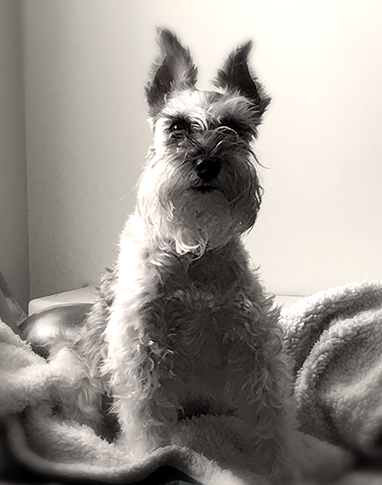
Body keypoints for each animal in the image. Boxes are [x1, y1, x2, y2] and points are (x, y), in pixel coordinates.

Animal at [50, 29, 298, 480]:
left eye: (236, 127)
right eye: (177, 126)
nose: (207, 163)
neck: (193, 252)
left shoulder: (254, 345)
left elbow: (271, 418)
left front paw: (280, 470)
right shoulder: (140, 348)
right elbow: (145, 419)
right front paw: (150, 458)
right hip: (73, 368)